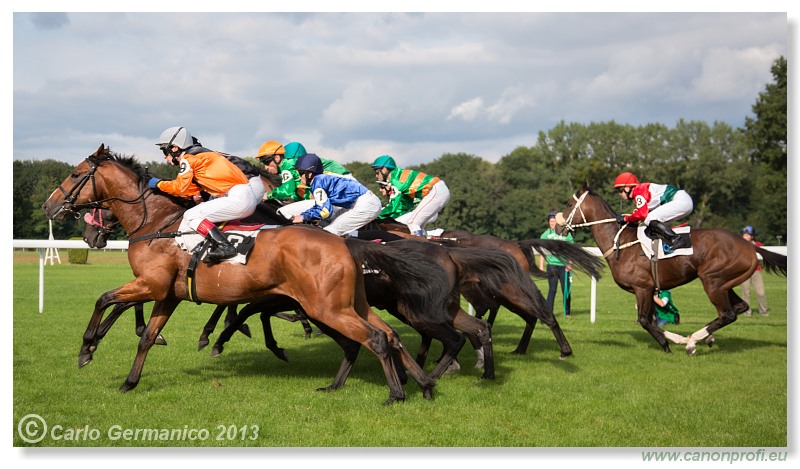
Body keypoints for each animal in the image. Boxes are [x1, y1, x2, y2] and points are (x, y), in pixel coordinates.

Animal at [41, 144, 434, 404]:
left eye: (75, 174)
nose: (48, 205)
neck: (158, 224)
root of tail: (342, 243)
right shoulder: (167, 294)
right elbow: (146, 337)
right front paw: (129, 381)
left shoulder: (150, 284)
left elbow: (104, 299)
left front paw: (87, 347)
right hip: (349, 304)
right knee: (386, 335)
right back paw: (421, 384)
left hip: (327, 308)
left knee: (375, 338)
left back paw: (397, 393)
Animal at [556, 185, 788, 352]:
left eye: (569, 203)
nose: (558, 227)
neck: (620, 242)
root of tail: (750, 245)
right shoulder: (649, 290)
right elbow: (650, 320)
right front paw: (668, 342)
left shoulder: (642, 288)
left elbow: (644, 320)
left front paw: (674, 341)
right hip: (724, 282)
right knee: (738, 308)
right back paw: (707, 337)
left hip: (712, 280)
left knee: (727, 314)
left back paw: (693, 341)